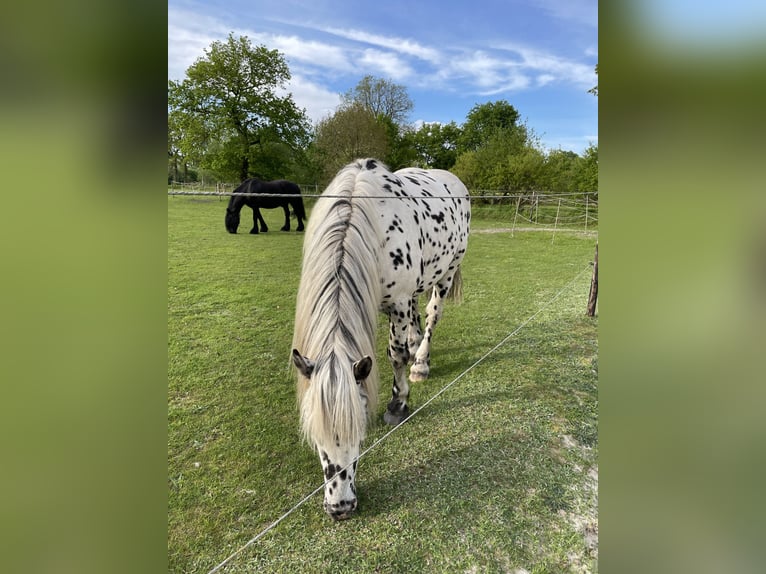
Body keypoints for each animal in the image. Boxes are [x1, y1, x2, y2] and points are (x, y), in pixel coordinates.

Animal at [291, 158, 471, 519]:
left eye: (358, 433)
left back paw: (421, 363)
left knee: (431, 315)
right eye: (315, 436)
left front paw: (397, 404)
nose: (340, 507)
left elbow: (395, 355)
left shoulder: (398, 302)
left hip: (445, 275)